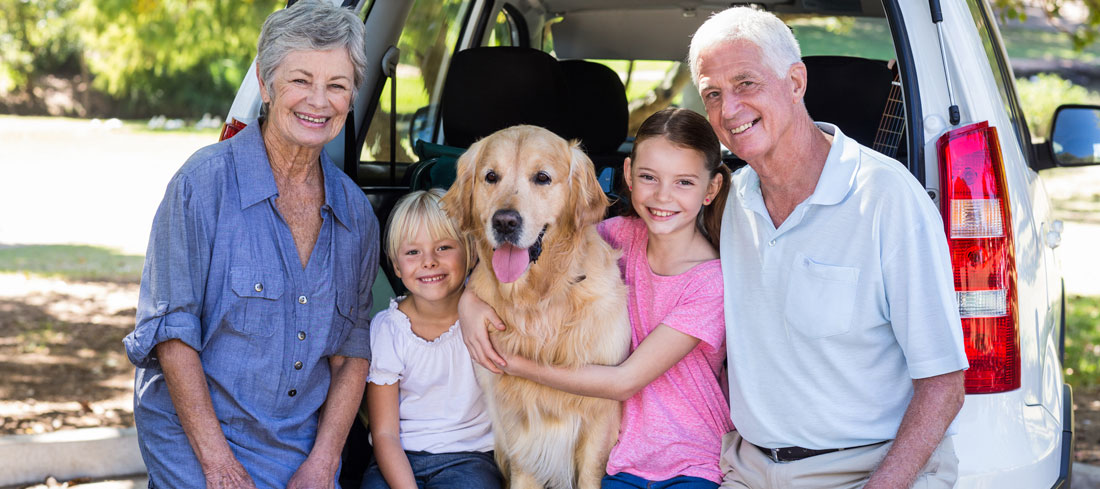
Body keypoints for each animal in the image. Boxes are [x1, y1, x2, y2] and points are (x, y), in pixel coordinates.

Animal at [437, 125, 629, 487]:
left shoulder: (601, 416)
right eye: (491, 176)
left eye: (542, 177)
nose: (505, 222)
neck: (539, 298)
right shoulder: (516, 422)